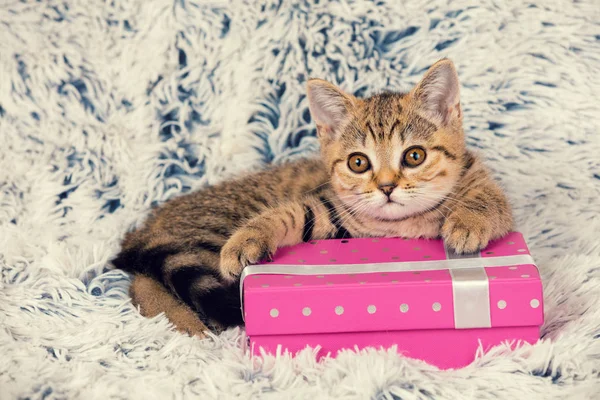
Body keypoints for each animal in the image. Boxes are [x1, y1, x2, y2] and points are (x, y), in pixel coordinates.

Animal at [111, 58, 510, 334]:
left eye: (414, 156)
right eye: (358, 162)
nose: (386, 187)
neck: (402, 225)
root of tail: (146, 225)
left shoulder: (484, 185)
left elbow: (488, 198)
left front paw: (468, 221)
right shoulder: (330, 212)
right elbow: (286, 213)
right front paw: (246, 239)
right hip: (202, 236)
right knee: (143, 282)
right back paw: (187, 325)